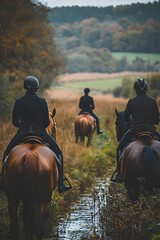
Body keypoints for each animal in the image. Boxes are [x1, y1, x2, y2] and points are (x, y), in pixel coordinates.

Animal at [3, 108, 58, 240]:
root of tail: (31, 154)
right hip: (44, 198)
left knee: (16, 224)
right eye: (55, 125)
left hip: (13, 196)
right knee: (39, 226)